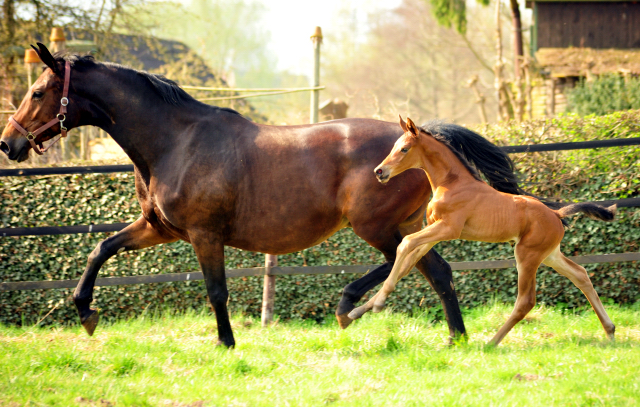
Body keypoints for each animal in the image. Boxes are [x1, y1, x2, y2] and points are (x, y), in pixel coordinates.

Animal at [1, 43, 524, 348]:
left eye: (38, 91)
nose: (9, 144)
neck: (174, 141)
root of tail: (418, 139)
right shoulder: (159, 228)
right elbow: (100, 247)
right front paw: (86, 312)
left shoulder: (203, 233)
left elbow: (216, 290)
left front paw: (226, 345)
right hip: (405, 223)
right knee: (436, 269)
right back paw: (457, 339)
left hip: (374, 224)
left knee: (405, 258)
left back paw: (348, 306)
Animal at [348, 116, 616, 346]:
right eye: (393, 146)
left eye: (404, 149)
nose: (379, 172)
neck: (452, 183)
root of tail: (557, 215)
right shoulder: (434, 231)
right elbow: (408, 261)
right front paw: (359, 310)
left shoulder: (448, 229)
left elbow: (405, 246)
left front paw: (374, 305)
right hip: (550, 254)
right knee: (580, 274)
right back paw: (610, 331)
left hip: (527, 255)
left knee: (526, 301)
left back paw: (492, 342)